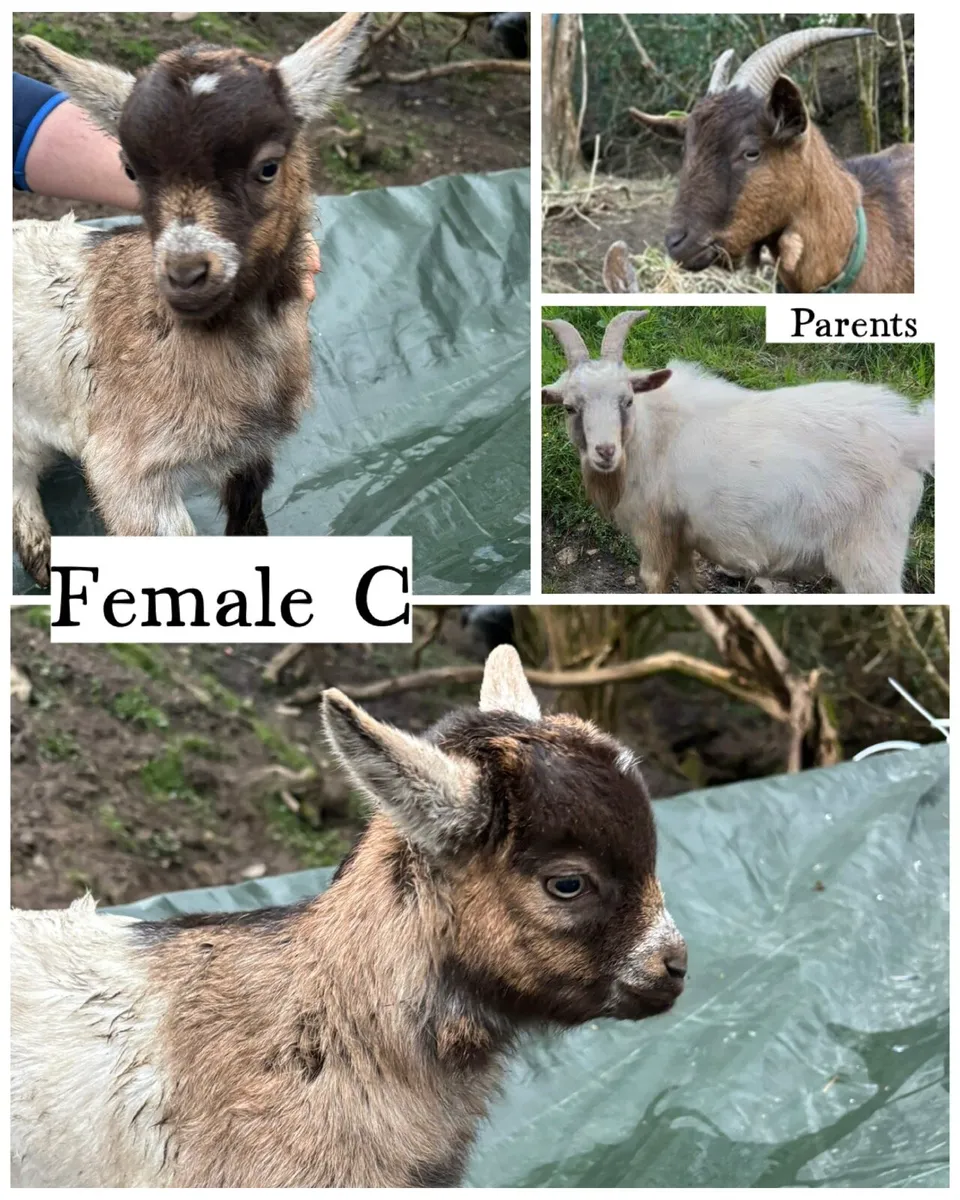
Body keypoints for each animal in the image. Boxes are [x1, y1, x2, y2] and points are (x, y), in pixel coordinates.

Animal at [13, 13, 369, 587]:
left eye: (268, 167)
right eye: (131, 170)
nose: (184, 273)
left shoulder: (251, 454)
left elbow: (250, 528)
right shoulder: (126, 471)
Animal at [543, 311, 934, 594]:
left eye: (626, 400)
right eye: (570, 408)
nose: (605, 452)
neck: (649, 434)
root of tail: (910, 435)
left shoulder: (653, 529)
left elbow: (655, 580)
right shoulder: (681, 531)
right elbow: (688, 580)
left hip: (871, 557)